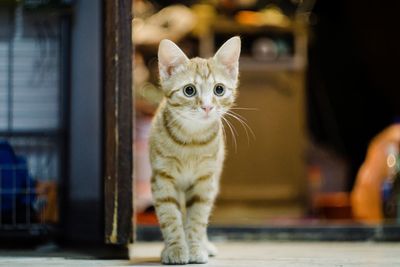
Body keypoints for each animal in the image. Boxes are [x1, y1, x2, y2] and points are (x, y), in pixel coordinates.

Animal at [148, 36, 239, 264]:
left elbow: (198, 218)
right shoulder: (162, 179)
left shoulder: (205, 182)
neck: (191, 140)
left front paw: (196, 248)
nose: (207, 107)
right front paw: (176, 248)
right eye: (189, 90)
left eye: (219, 89)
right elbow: (170, 216)